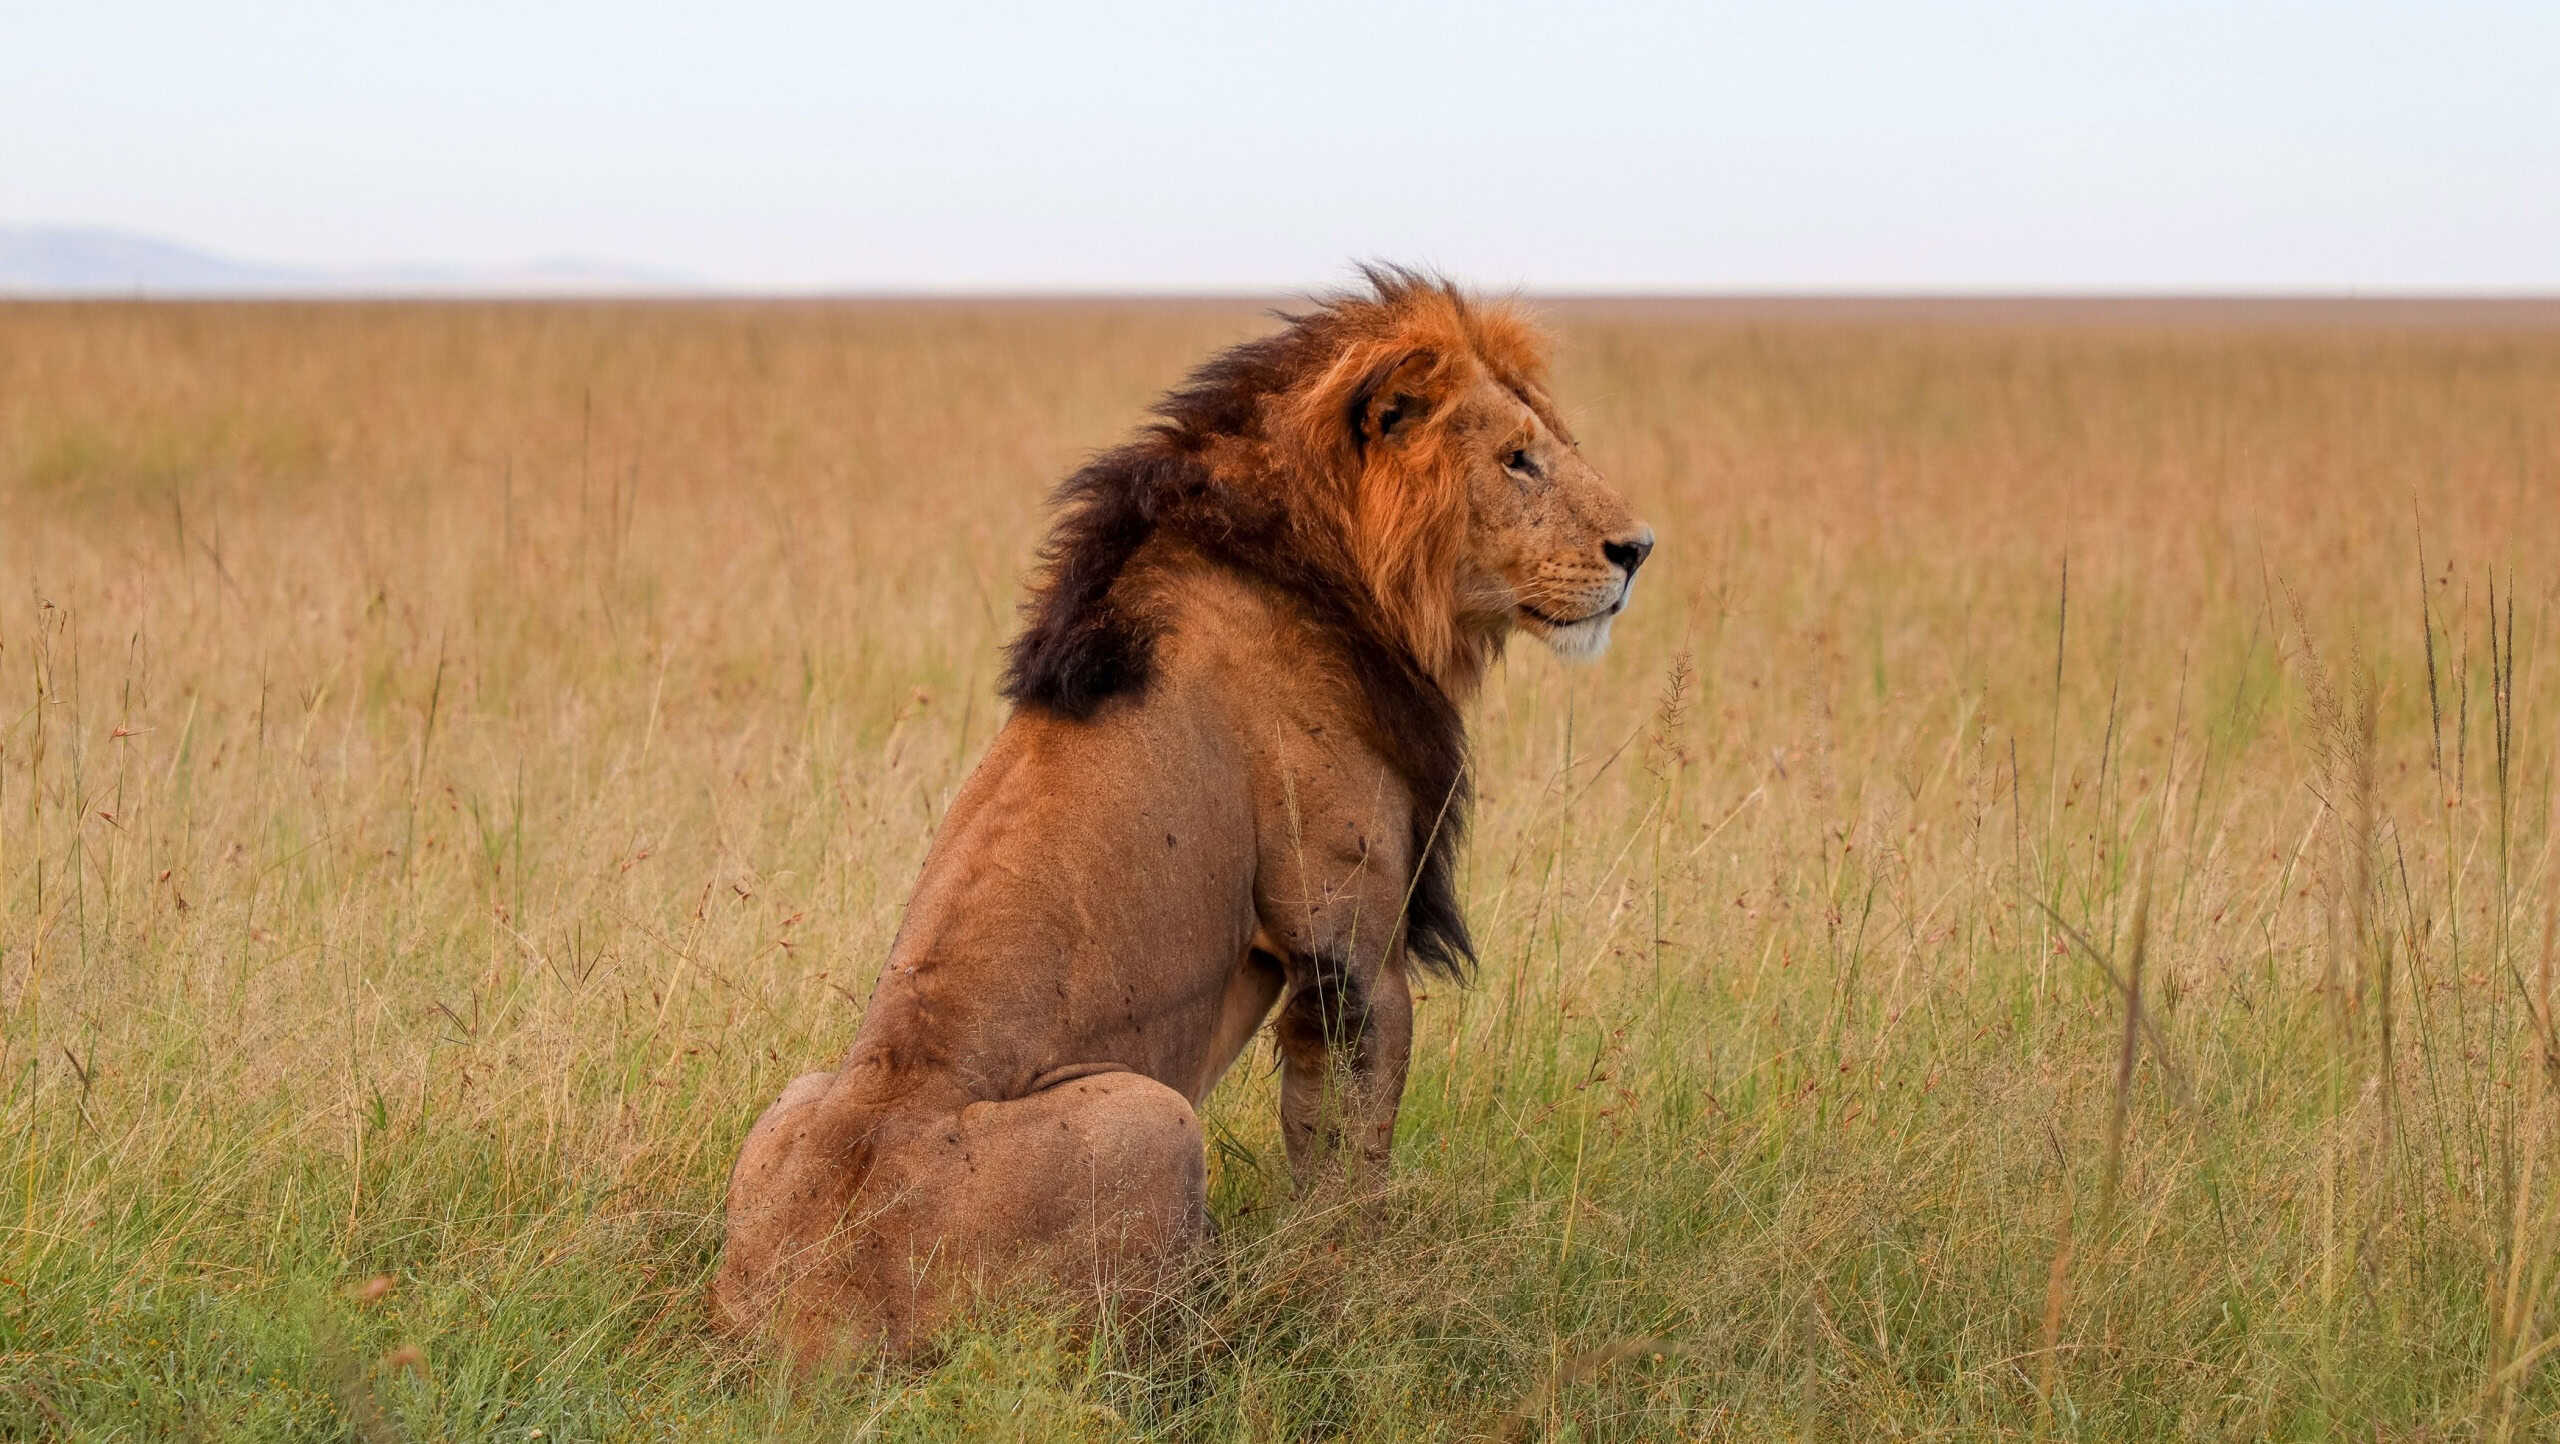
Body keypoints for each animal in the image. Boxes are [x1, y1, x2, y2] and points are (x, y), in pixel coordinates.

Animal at [711, 268, 1654, 1362]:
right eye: (1517, 458)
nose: (1637, 548)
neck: (1332, 570)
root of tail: (806, 1316)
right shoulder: (1345, 950)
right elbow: (1347, 1161)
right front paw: (1356, 1301)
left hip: (795, 1099)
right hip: (1149, 1118)